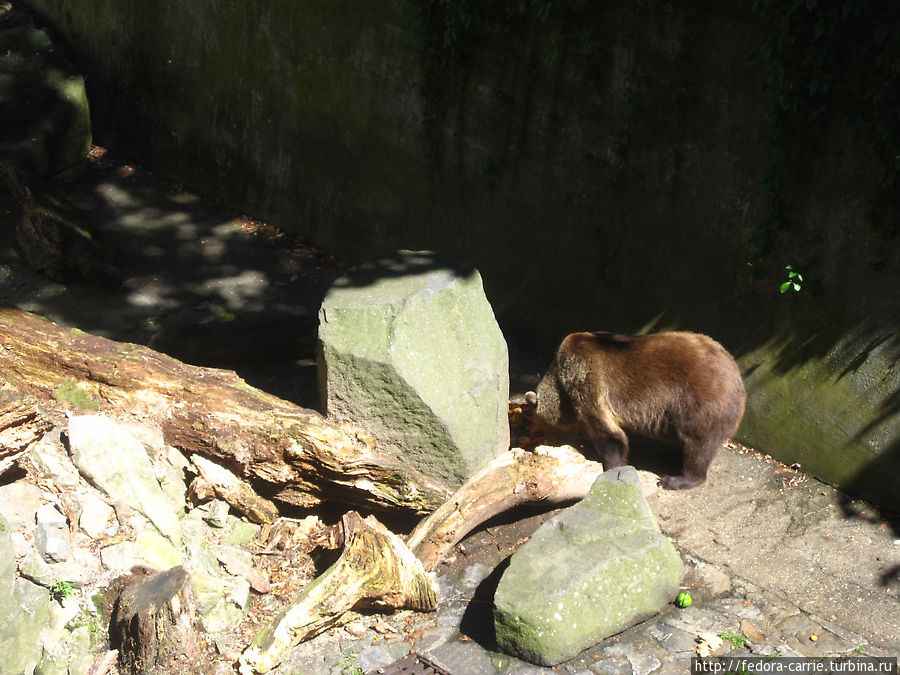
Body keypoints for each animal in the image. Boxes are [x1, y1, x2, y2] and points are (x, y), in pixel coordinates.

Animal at [536, 330, 744, 488]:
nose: (541, 440)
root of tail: (737, 375)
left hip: (700, 401)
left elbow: (607, 432)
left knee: (698, 444)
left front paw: (611, 466)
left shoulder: (586, 379)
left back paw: (676, 479)